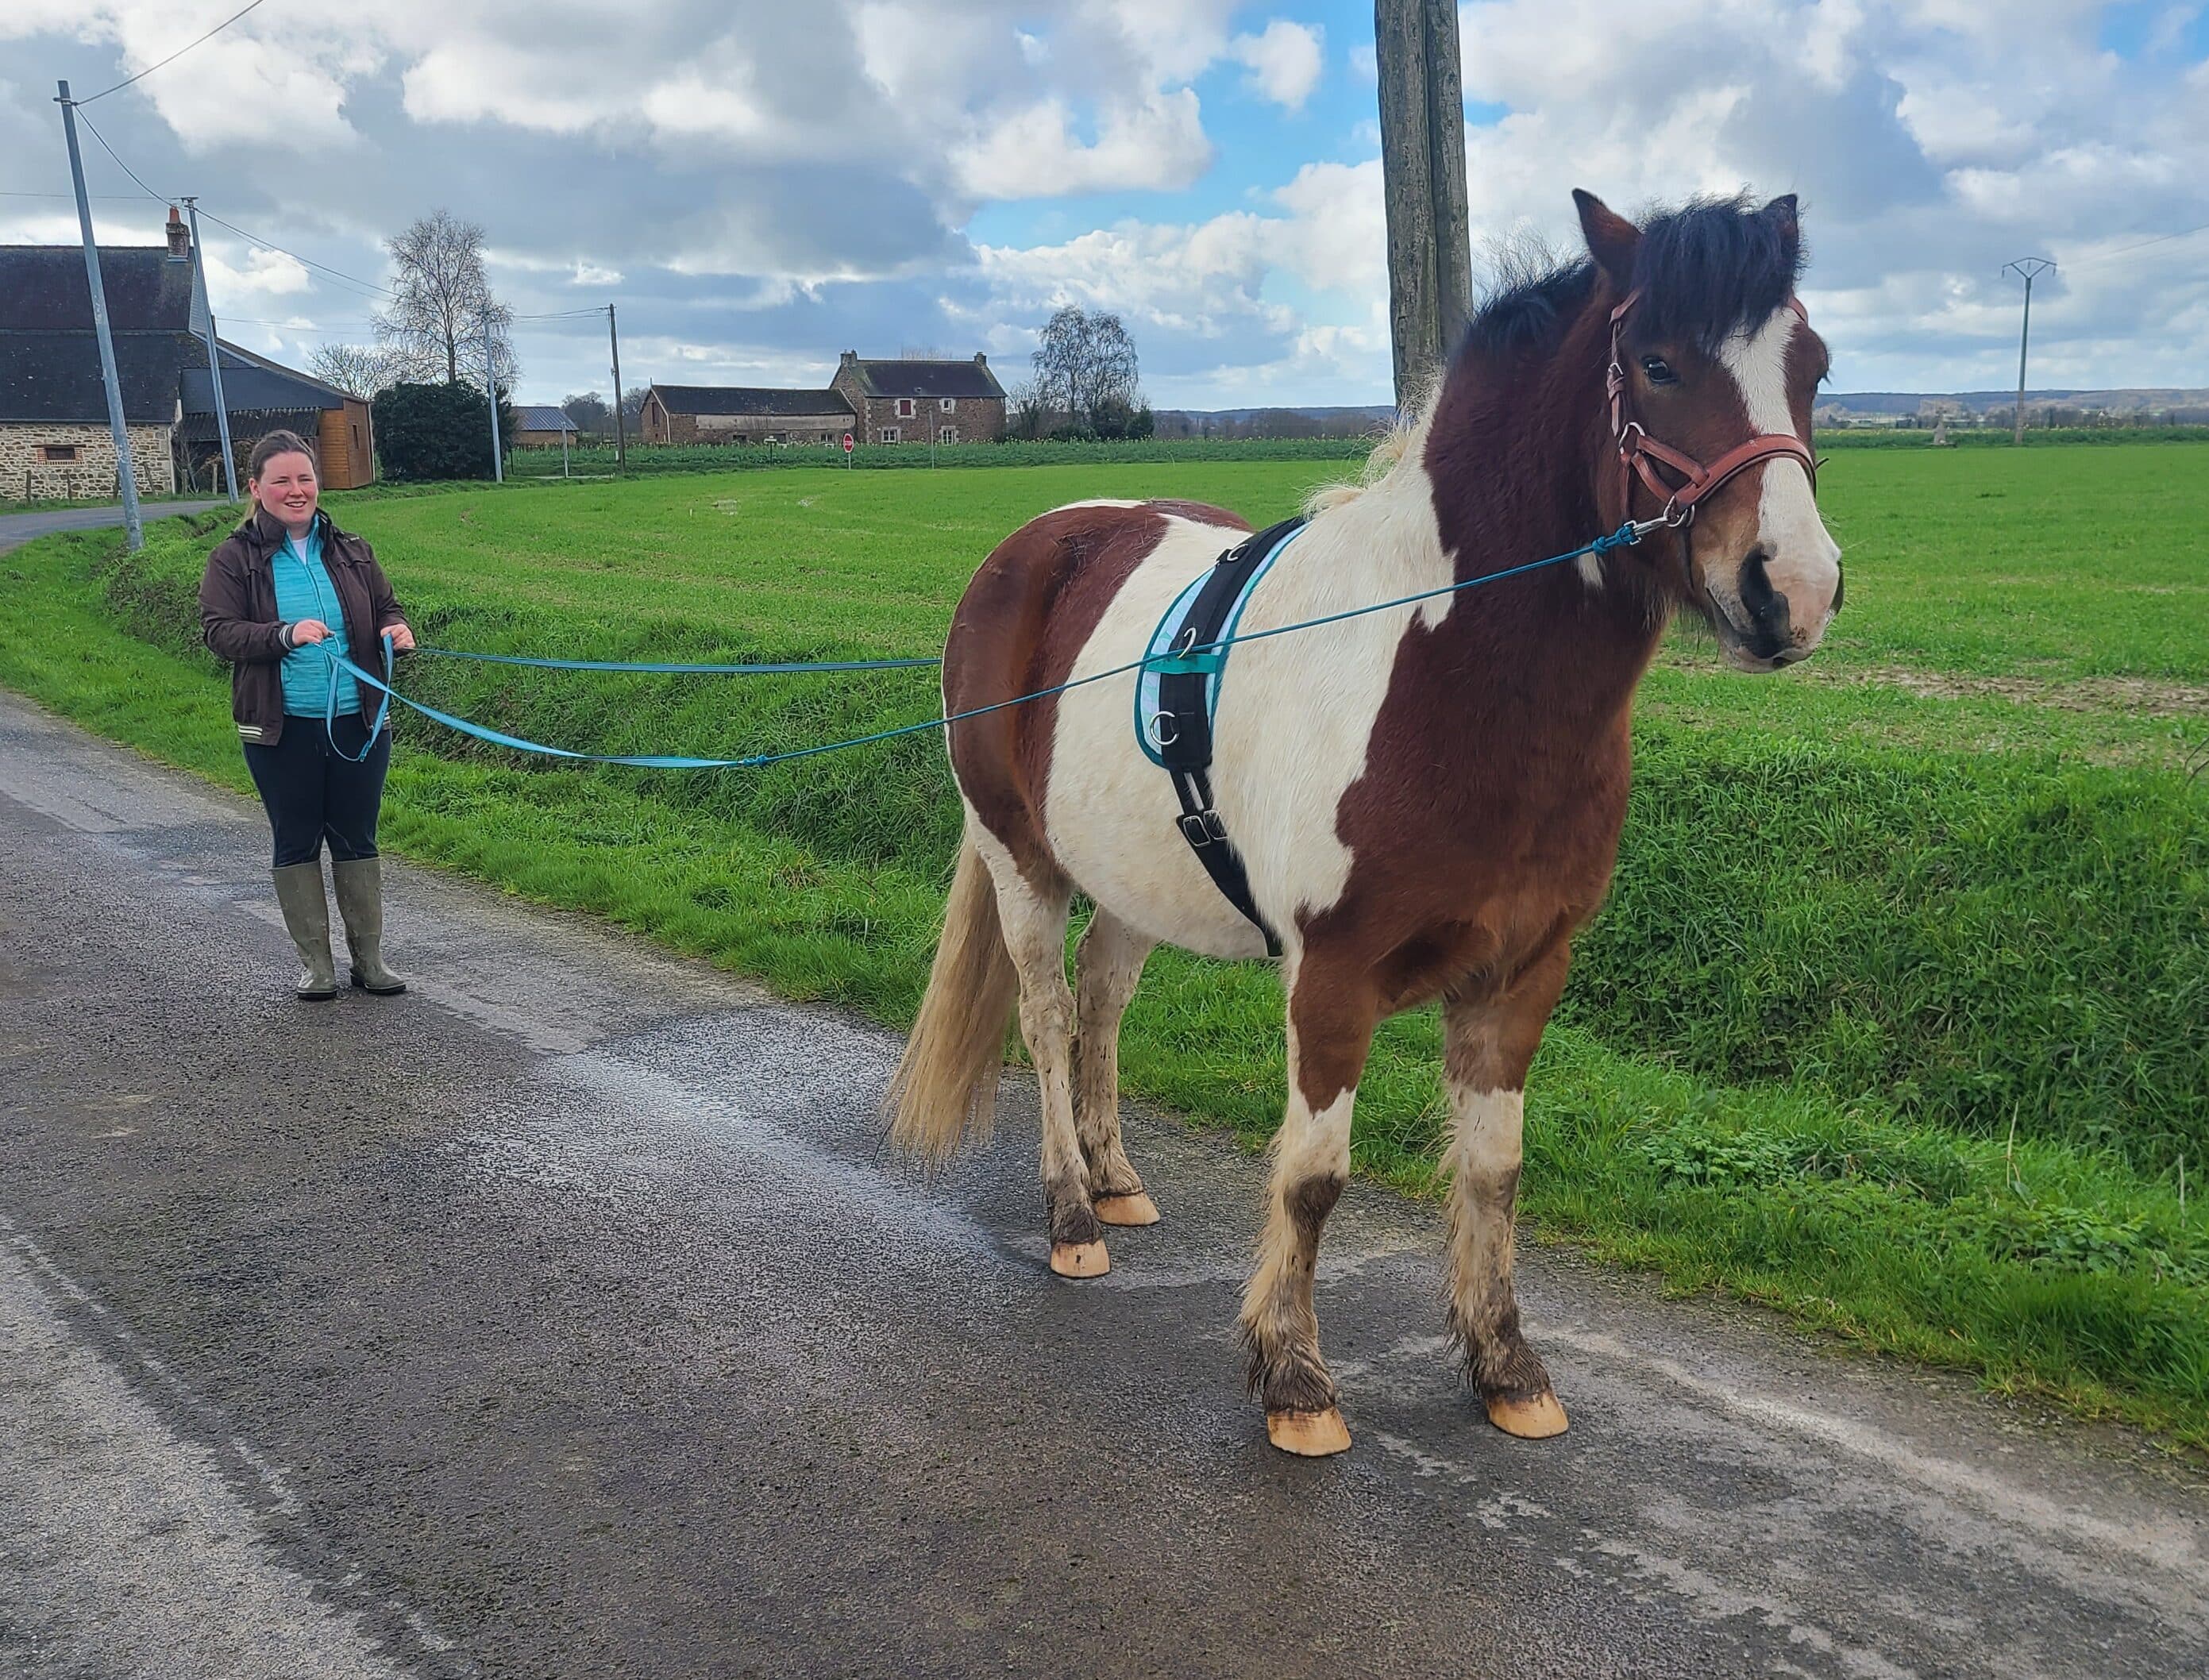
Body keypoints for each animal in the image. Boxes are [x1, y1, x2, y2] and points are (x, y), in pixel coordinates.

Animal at [888, 193, 1837, 1457]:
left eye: (1812, 368)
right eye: (1659, 362)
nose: (1795, 591)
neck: (1447, 671)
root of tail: (1036, 544)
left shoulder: (1522, 973)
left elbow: (1494, 1170)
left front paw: (1505, 1367)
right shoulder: (1331, 977)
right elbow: (1312, 1176)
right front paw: (1294, 1378)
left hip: (1140, 877)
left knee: (1103, 1000)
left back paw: (1116, 1179)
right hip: (1020, 860)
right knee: (1046, 1019)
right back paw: (1070, 1215)